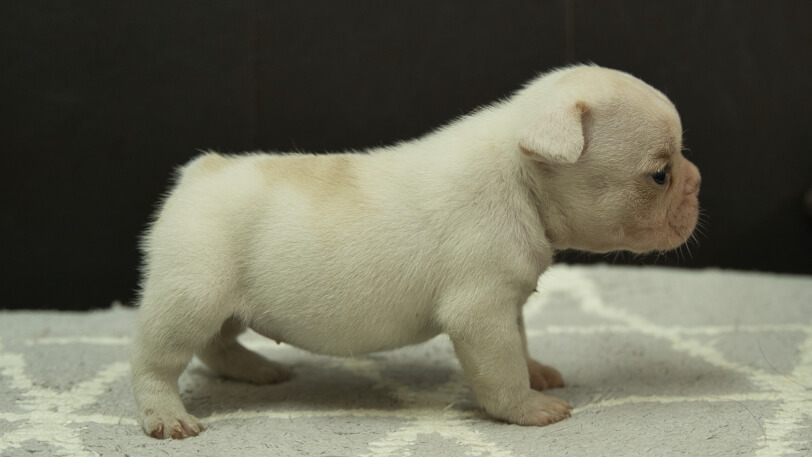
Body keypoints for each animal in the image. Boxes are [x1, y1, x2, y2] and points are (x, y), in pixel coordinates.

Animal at [132, 65, 696, 438]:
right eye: (659, 174)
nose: (697, 182)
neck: (521, 176)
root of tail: (201, 171)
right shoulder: (481, 312)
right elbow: (501, 368)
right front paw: (527, 408)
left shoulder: (506, 304)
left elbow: (519, 343)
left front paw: (535, 372)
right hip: (192, 295)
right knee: (156, 360)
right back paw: (166, 415)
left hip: (225, 302)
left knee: (216, 344)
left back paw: (255, 370)